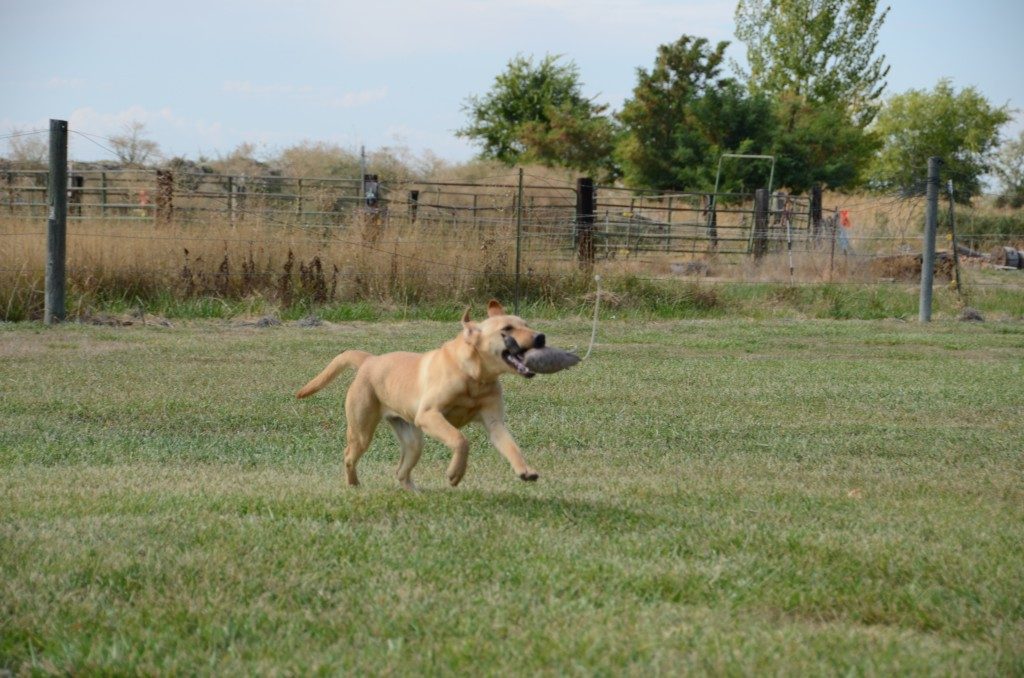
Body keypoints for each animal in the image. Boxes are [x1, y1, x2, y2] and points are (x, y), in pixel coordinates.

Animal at [299, 301, 544, 489]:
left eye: (526, 324)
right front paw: (455, 473)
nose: (541, 337)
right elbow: (460, 439)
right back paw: (353, 484)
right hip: (362, 430)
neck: (475, 376)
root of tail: (369, 360)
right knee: (349, 455)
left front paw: (526, 470)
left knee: (401, 471)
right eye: (507, 328)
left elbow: (512, 447)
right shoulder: (429, 415)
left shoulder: (494, 423)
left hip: (412, 440)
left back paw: (415, 493)